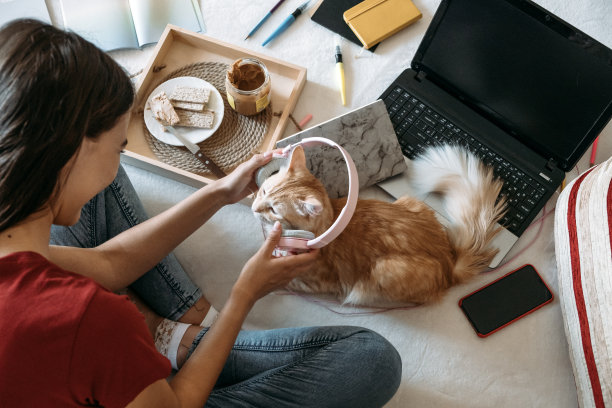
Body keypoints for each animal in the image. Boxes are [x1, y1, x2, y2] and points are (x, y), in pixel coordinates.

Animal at [251, 144, 504, 306]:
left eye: (273, 210)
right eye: (263, 192)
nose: (255, 208)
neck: (329, 224)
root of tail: (449, 262)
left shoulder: (314, 281)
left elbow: (283, 281)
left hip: (384, 270)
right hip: (412, 202)